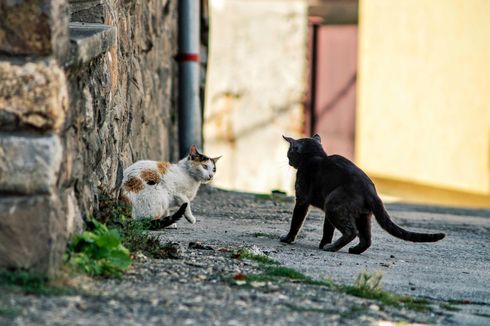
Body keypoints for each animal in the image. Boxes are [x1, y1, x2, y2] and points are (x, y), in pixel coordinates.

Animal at [280, 134, 444, 253]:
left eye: (289, 153)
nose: (288, 161)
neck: (315, 155)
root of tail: (371, 191)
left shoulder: (302, 200)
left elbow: (296, 221)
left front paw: (288, 239)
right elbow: (328, 229)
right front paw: (323, 243)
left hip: (333, 204)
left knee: (352, 232)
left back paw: (332, 248)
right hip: (362, 215)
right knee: (366, 239)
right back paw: (353, 250)